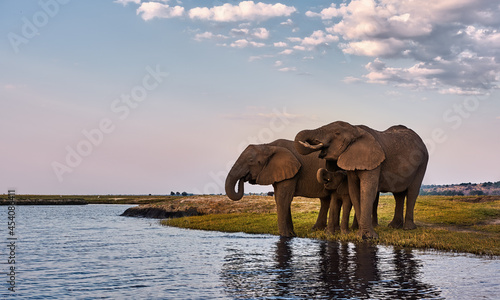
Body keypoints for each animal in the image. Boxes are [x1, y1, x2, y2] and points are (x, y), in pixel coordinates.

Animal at [294, 121, 428, 239]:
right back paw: (394, 226)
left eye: (337, 133)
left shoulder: (373, 162)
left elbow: (367, 190)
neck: (356, 129)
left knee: (412, 192)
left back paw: (408, 228)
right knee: (398, 194)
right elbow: (354, 191)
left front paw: (369, 237)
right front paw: (360, 234)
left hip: (422, 162)